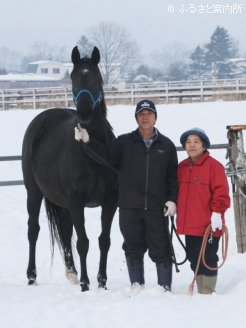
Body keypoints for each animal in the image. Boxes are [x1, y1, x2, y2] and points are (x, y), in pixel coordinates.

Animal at [21, 46, 117, 292]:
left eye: (97, 77)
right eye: (73, 77)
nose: (83, 113)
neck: (93, 150)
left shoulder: (110, 202)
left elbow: (104, 241)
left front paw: (102, 282)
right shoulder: (76, 201)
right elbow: (83, 242)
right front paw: (85, 284)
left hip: (61, 202)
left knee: (64, 232)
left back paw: (71, 272)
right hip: (34, 193)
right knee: (33, 230)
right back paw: (32, 276)